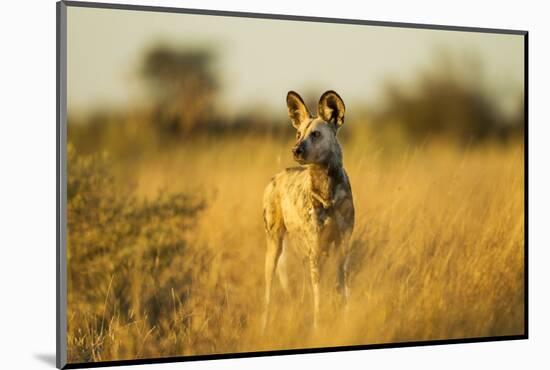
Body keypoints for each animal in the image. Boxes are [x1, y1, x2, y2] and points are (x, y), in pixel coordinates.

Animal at [264, 91, 358, 330]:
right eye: (298, 134)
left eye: (315, 134)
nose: (295, 149)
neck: (327, 192)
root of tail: (276, 177)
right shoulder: (317, 248)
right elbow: (319, 296)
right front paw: (318, 325)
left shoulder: (342, 245)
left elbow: (342, 287)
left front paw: (345, 317)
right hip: (275, 248)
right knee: (268, 292)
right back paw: (264, 326)